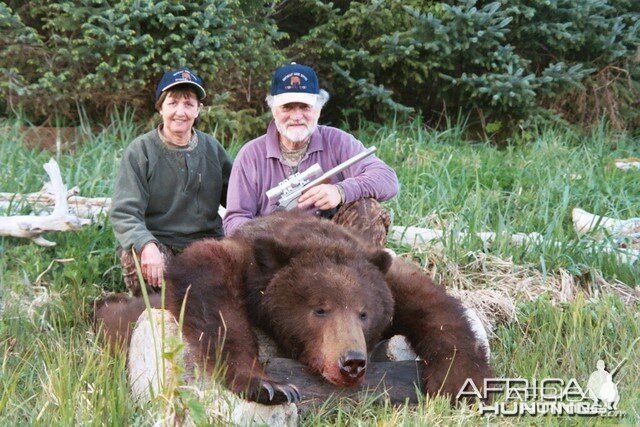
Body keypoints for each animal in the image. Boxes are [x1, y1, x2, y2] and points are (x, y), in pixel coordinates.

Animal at [95, 212, 492, 406]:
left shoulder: (391, 277)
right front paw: (269, 386)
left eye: (364, 313)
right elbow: (213, 296)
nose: (351, 362)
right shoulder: (244, 264)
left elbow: (440, 314)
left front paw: (462, 384)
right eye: (320, 309)